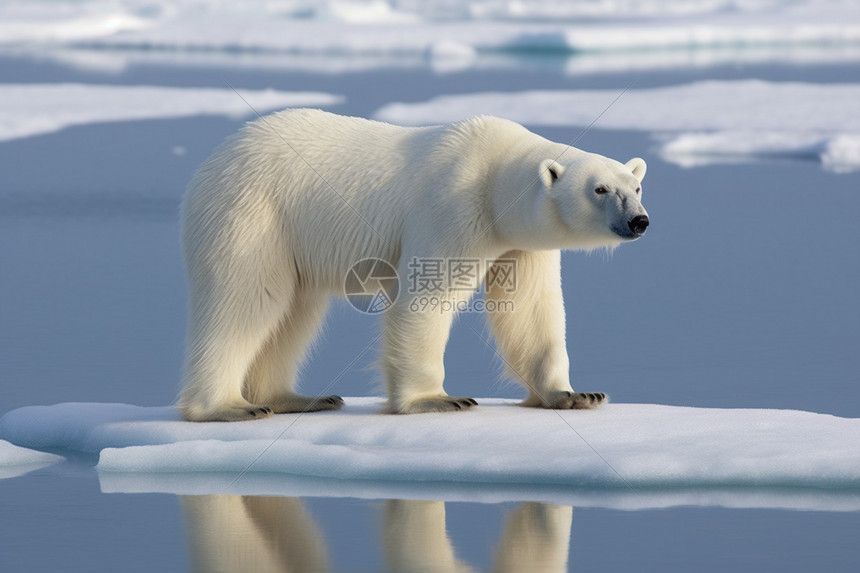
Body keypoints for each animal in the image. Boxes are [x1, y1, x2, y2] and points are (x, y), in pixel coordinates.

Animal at [178, 108, 648, 420]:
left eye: (636, 185)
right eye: (600, 189)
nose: (639, 221)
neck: (494, 175)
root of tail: (212, 161)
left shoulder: (520, 244)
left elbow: (531, 310)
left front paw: (575, 394)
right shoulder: (453, 206)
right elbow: (426, 298)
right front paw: (438, 399)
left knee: (294, 313)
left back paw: (295, 398)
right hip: (254, 215)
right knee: (246, 302)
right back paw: (228, 406)